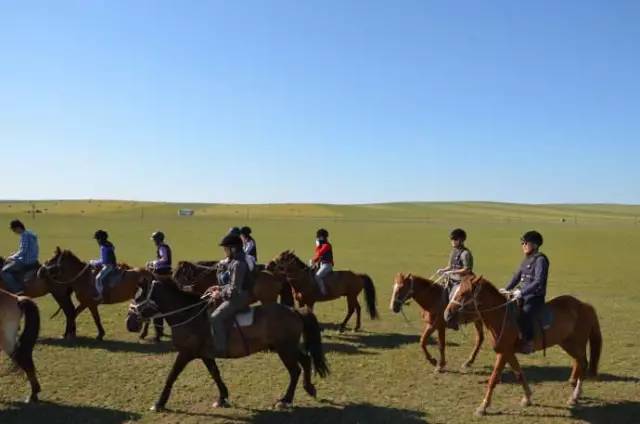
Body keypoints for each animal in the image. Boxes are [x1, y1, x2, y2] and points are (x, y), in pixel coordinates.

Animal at [124, 278, 330, 410]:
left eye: (139, 297)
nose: (129, 323)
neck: (190, 316)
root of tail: (294, 311)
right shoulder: (205, 355)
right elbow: (215, 374)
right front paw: (222, 397)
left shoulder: (186, 354)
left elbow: (171, 376)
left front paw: (159, 403)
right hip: (287, 348)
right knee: (305, 361)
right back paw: (309, 388)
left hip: (285, 349)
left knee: (295, 370)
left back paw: (285, 400)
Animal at [444, 274, 600, 416]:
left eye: (464, 293)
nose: (447, 315)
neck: (501, 316)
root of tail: (584, 305)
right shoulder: (508, 352)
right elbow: (519, 374)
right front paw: (527, 398)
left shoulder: (503, 353)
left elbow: (494, 378)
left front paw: (483, 407)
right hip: (567, 343)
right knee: (578, 361)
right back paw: (574, 386)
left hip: (575, 344)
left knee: (583, 363)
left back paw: (575, 395)